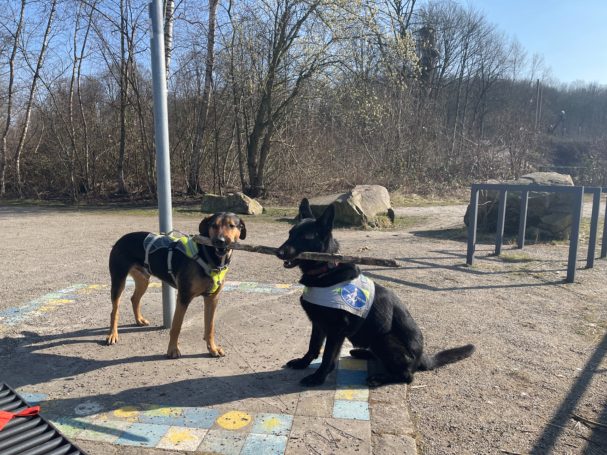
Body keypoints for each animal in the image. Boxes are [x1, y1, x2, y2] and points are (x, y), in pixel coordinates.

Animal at [107, 214, 247, 360]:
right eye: (214, 225)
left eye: (232, 225)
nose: (220, 241)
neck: (207, 255)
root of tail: (121, 239)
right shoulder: (183, 297)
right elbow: (176, 327)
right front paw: (172, 350)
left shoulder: (212, 298)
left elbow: (210, 327)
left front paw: (212, 349)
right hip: (118, 281)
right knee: (114, 311)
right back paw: (112, 335)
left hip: (143, 280)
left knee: (134, 299)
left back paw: (139, 320)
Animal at [276, 200, 476, 388]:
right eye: (290, 234)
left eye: (304, 237)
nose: (278, 252)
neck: (326, 270)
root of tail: (422, 357)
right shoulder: (318, 324)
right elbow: (313, 346)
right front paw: (303, 363)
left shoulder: (336, 330)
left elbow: (327, 357)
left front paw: (318, 377)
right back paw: (362, 352)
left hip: (384, 338)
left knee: (407, 376)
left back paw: (380, 378)